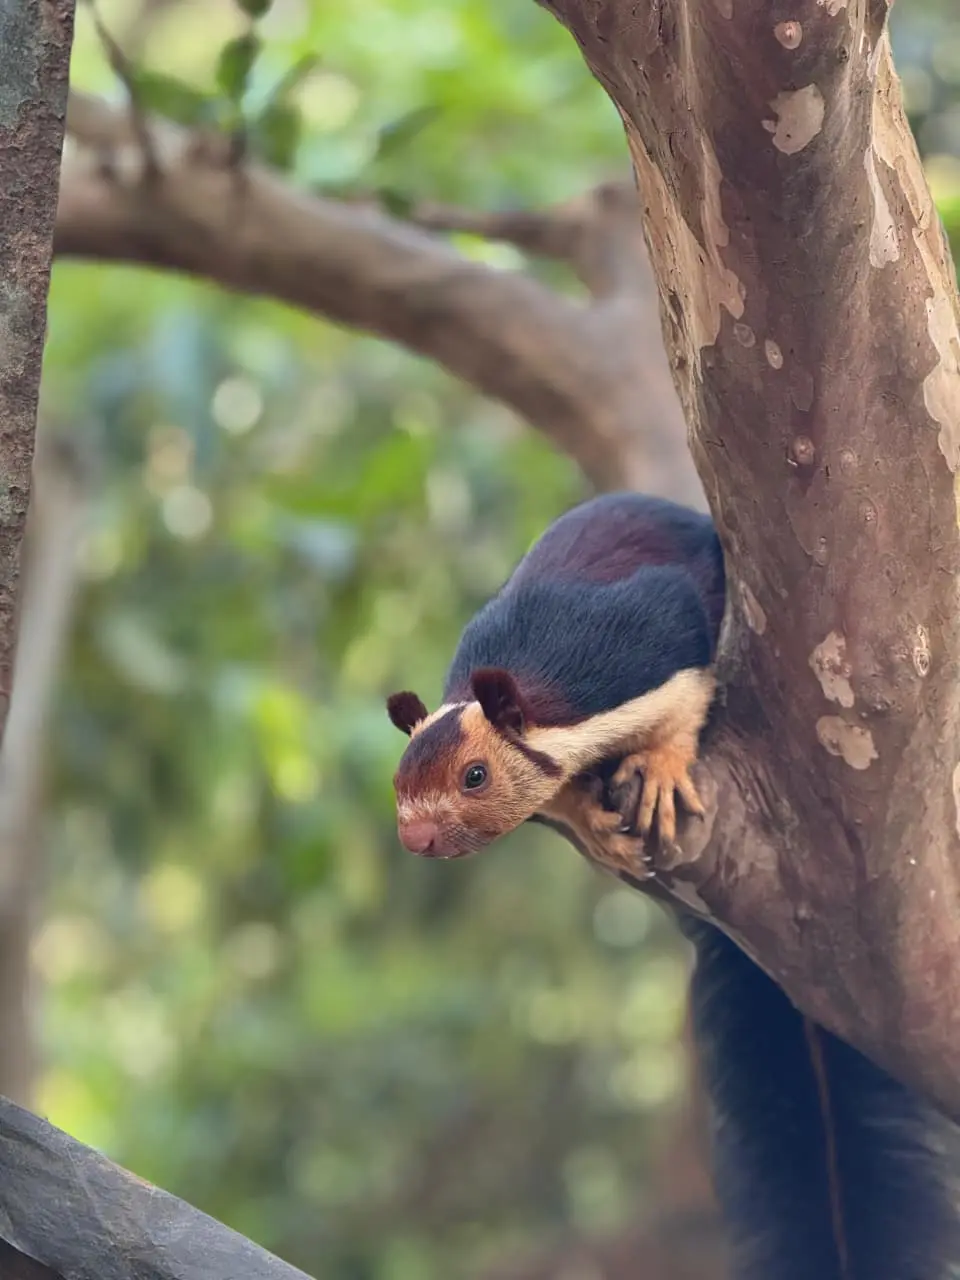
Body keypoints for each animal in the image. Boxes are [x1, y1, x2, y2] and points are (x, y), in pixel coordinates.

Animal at [385, 491, 960, 1279]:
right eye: (399, 782)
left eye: (475, 776)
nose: (416, 839)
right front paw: (592, 823)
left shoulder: (650, 639)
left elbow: (686, 695)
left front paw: (657, 770)